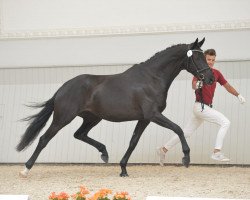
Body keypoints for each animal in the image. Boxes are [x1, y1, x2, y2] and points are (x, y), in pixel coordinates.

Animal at [17, 37, 213, 177]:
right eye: (197, 57)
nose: (210, 78)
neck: (152, 78)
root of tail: (63, 88)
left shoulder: (144, 119)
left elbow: (133, 142)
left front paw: (123, 169)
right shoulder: (153, 115)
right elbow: (178, 129)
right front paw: (186, 157)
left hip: (92, 118)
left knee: (79, 134)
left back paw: (104, 153)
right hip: (63, 118)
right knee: (44, 139)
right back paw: (25, 169)